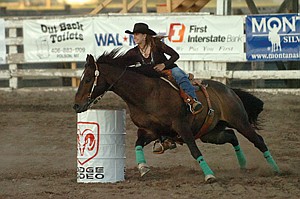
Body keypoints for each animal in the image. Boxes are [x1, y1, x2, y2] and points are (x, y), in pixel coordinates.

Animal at [74, 51, 280, 182]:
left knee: (258, 140)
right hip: (211, 133)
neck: (147, 93)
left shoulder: (182, 126)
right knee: (231, 136)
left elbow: (194, 151)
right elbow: (137, 144)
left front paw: (209, 176)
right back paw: (243, 165)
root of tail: (229, 89)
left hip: (240, 121)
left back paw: (276, 169)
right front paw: (143, 168)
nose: (76, 105)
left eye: (88, 79)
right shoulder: (149, 130)